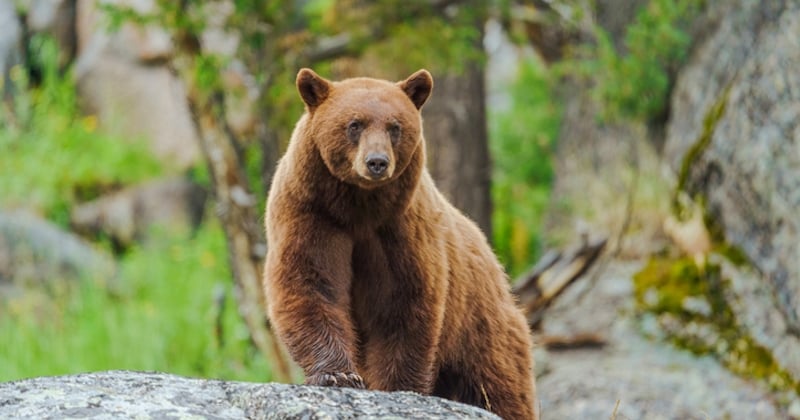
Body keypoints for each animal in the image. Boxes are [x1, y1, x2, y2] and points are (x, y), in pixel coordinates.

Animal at [264, 67, 536, 418]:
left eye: (395, 126)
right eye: (354, 124)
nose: (377, 162)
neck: (359, 206)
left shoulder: (401, 230)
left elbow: (402, 303)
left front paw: (397, 385)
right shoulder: (312, 214)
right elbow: (310, 283)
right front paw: (337, 374)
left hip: (482, 330)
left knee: (498, 387)